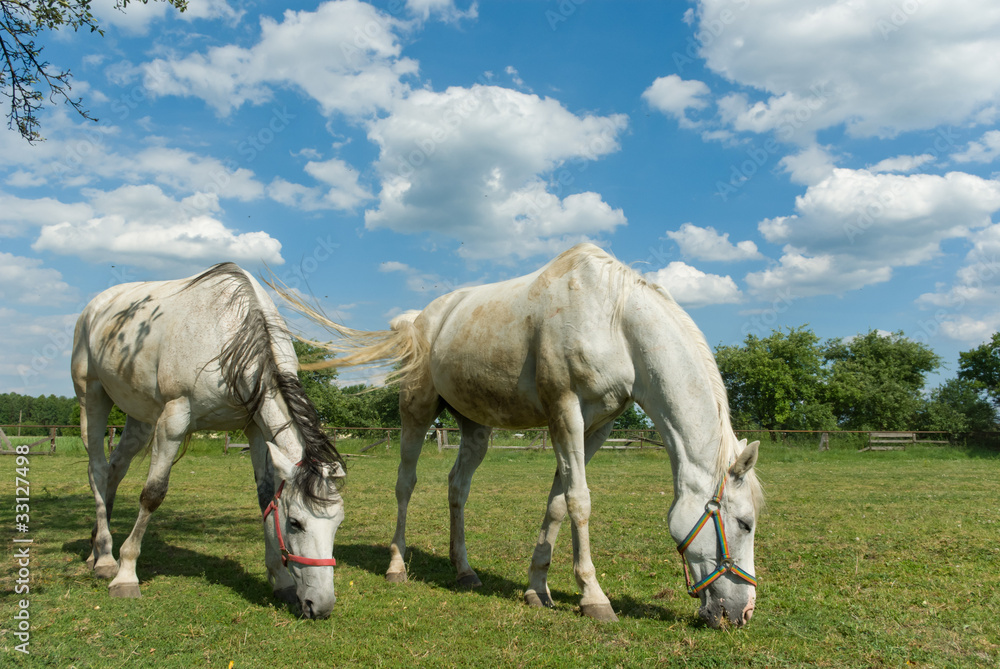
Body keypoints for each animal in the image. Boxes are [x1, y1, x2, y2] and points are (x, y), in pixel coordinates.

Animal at [71, 263, 346, 619]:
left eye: (337, 524)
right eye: (295, 523)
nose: (320, 606)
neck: (228, 340)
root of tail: (95, 307)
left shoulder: (255, 429)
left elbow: (265, 499)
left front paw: (281, 580)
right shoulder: (173, 420)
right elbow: (152, 495)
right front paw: (126, 574)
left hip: (140, 418)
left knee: (115, 468)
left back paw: (95, 549)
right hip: (91, 397)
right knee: (97, 470)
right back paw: (105, 558)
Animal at [279, 243, 762, 627]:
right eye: (745, 523)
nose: (743, 611)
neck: (613, 320)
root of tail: (420, 320)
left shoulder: (595, 428)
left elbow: (557, 503)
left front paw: (537, 590)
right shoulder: (565, 413)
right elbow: (579, 502)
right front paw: (594, 598)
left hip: (476, 428)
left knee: (457, 487)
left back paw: (464, 571)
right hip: (415, 414)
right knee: (405, 484)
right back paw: (397, 566)